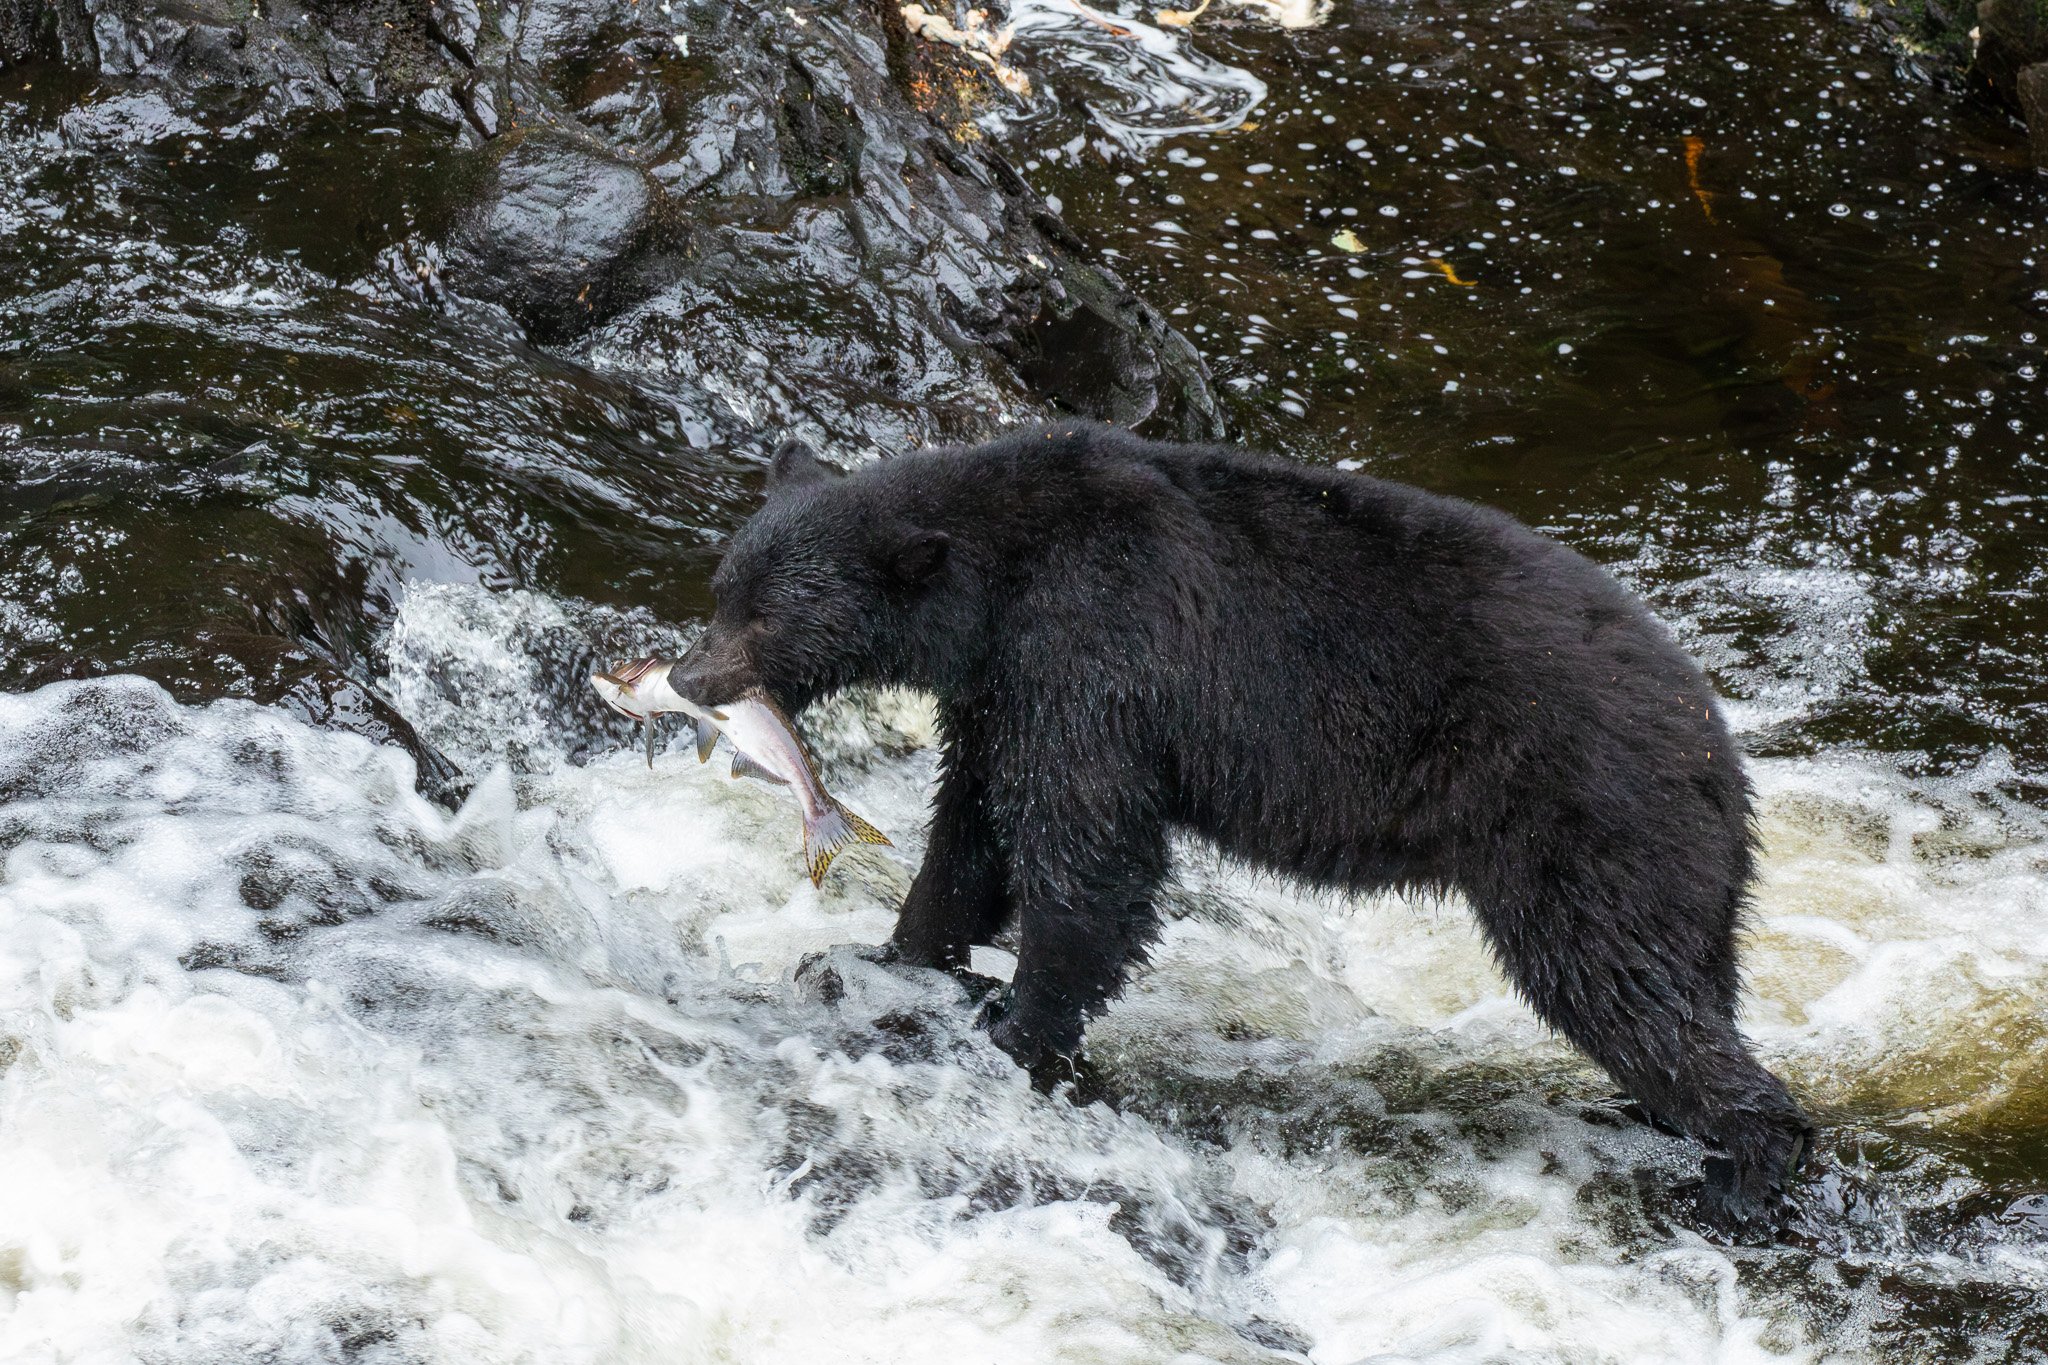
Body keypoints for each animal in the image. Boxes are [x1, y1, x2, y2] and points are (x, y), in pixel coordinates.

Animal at [667, 421, 1810, 1233]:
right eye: (721, 587)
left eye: (766, 613)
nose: (685, 676)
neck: (994, 584)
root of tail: (1713, 738)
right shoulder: (999, 692)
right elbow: (972, 828)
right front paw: (900, 953)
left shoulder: (1091, 655)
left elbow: (1091, 853)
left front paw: (1015, 1025)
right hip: (1680, 866)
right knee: (1684, 977)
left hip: (1582, 821)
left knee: (1614, 980)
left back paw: (1748, 1168)